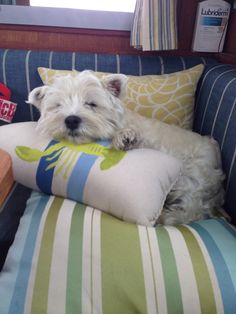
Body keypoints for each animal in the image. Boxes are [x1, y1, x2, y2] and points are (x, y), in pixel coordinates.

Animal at [27, 70, 225, 224]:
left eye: (91, 104)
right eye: (57, 105)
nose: (71, 120)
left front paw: (126, 138)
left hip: (192, 179)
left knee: (194, 210)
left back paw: (169, 218)